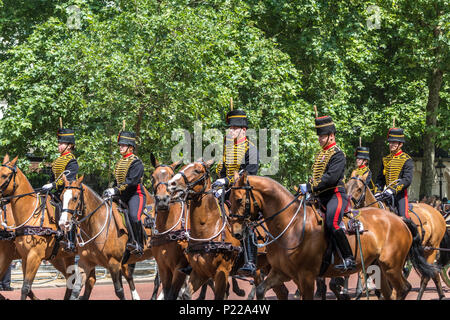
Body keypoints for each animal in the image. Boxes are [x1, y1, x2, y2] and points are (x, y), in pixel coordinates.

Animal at [0, 155, 75, 300]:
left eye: (4, 175)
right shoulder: (23, 256)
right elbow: (27, 288)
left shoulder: (29, 256)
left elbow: (25, 287)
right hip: (57, 257)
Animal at [167, 160, 290, 300]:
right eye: (182, 167)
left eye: (197, 170)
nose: (171, 184)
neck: (206, 229)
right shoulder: (199, 272)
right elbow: (186, 294)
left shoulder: (222, 272)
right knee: (281, 291)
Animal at [229, 172, 436, 300]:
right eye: (229, 199)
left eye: (238, 199)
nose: (236, 231)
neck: (290, 225)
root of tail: (399, 219)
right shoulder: (280, 272)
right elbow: (261, 290)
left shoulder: (306, 276)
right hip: (380, 267)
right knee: (387, 292)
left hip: (391, 266)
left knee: (403, 289)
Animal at [346, 172, 448, 300]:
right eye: (346, 186)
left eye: (359, 189)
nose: (348, 209)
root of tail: (436, 212)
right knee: (434, 273)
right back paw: (441, 295)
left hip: (431, 249)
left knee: (426, 276)